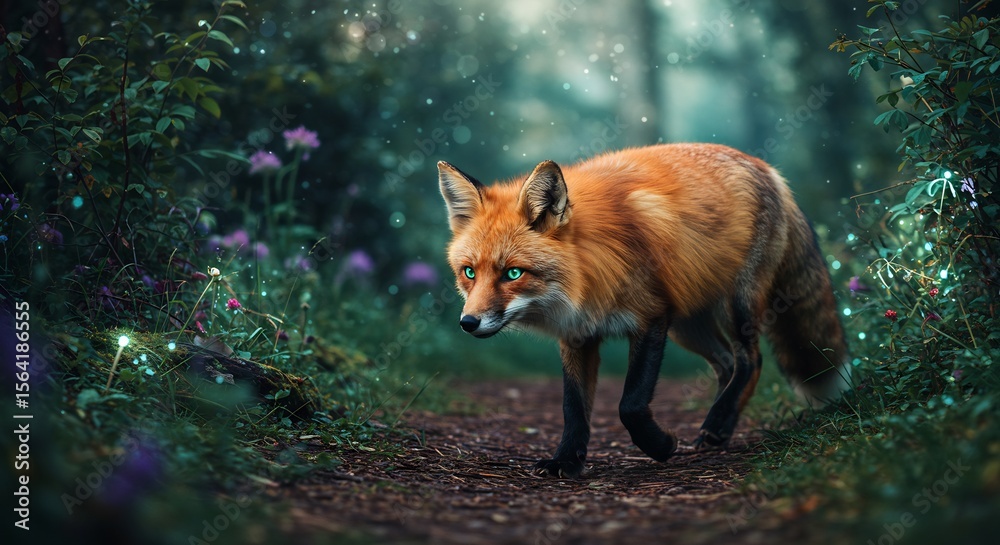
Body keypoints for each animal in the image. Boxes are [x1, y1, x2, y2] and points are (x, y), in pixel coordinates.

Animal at [438, 143, 851, 478]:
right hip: (688, 324)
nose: (468, 323)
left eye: (513, 273)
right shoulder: (577, 335)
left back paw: (718, 423)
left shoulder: (651, 317)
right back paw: (721, 424)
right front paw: (566, 461)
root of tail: (768, 169)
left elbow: (631, 404)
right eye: (469, 272)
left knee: (751, 360)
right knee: (728, 363)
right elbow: (573, 409)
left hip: (736, 306)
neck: (587, 272)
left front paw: (661, 445)